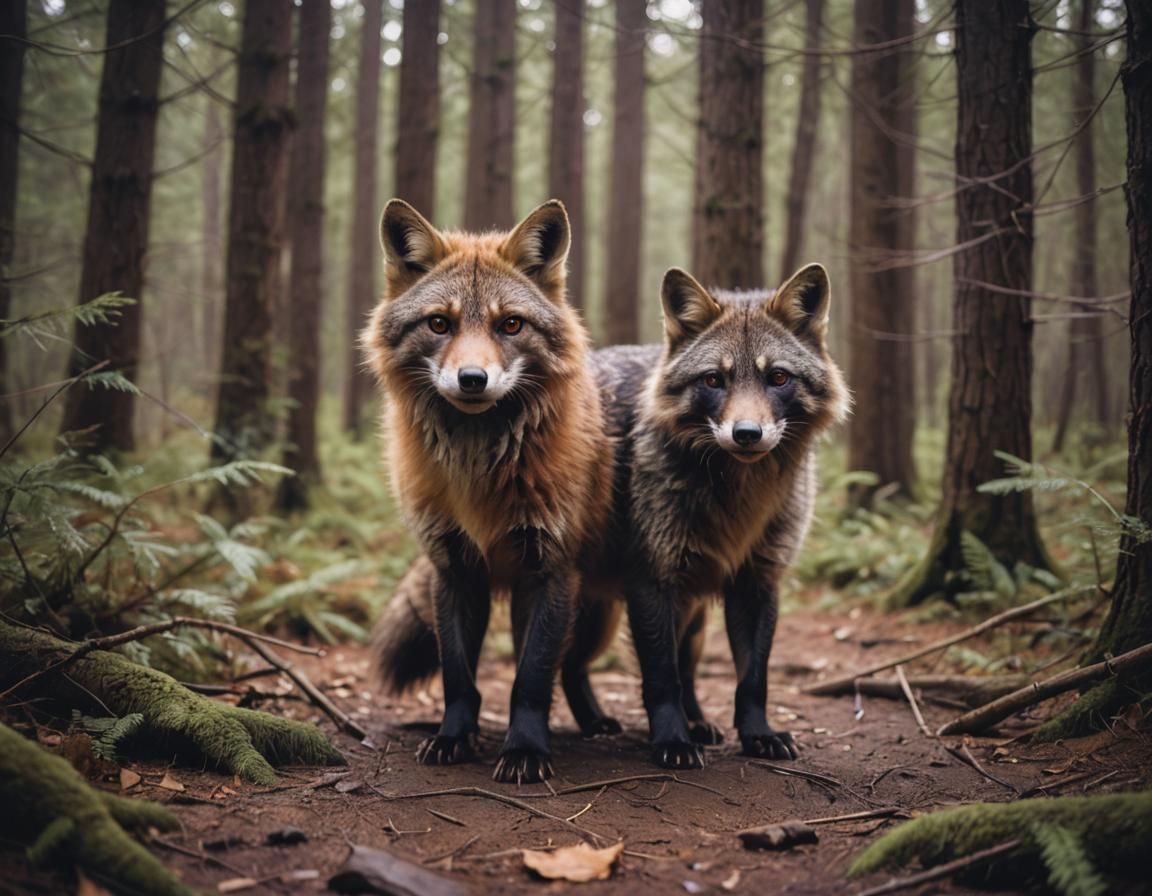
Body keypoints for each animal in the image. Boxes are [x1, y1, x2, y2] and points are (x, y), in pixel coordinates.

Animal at [363, 199, 620, 784]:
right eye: (440, 323)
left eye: (511, 324)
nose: (472, 379)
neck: (478, 473)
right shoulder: (454, 568)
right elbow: (459, 678)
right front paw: (453, 738)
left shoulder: (548, 570)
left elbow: (531, 679)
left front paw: (524, 750)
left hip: (594, 612)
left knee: (571, 669)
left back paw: (596, 723)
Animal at [589, 263, 849, 769]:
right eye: (714, 380)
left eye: (778, 377)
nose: (747, 433)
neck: (739, 499)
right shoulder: (651, 581)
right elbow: (661, 678)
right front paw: (671, 741)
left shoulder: (758, 581)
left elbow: (752, 679)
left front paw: (758, 736)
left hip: (688, 618)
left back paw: (692, 724)